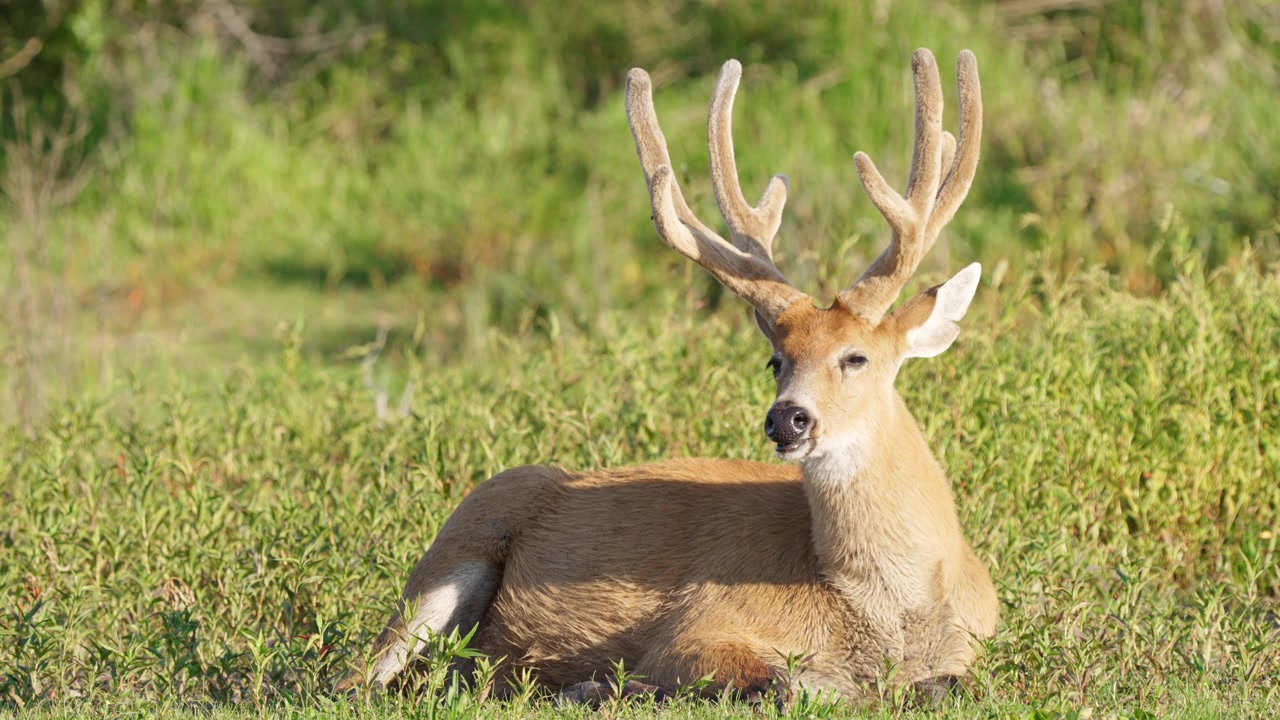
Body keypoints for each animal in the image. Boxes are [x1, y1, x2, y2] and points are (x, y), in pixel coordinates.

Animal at [336, 48, 998, 707]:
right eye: (776, 359)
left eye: (856, 357)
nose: (786, 419)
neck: (892, 609)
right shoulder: (698, 625)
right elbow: (784, 685)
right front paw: (607, 685)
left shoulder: (973, 646)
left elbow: (946, 686)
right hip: (461, 538)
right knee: (362, 680)